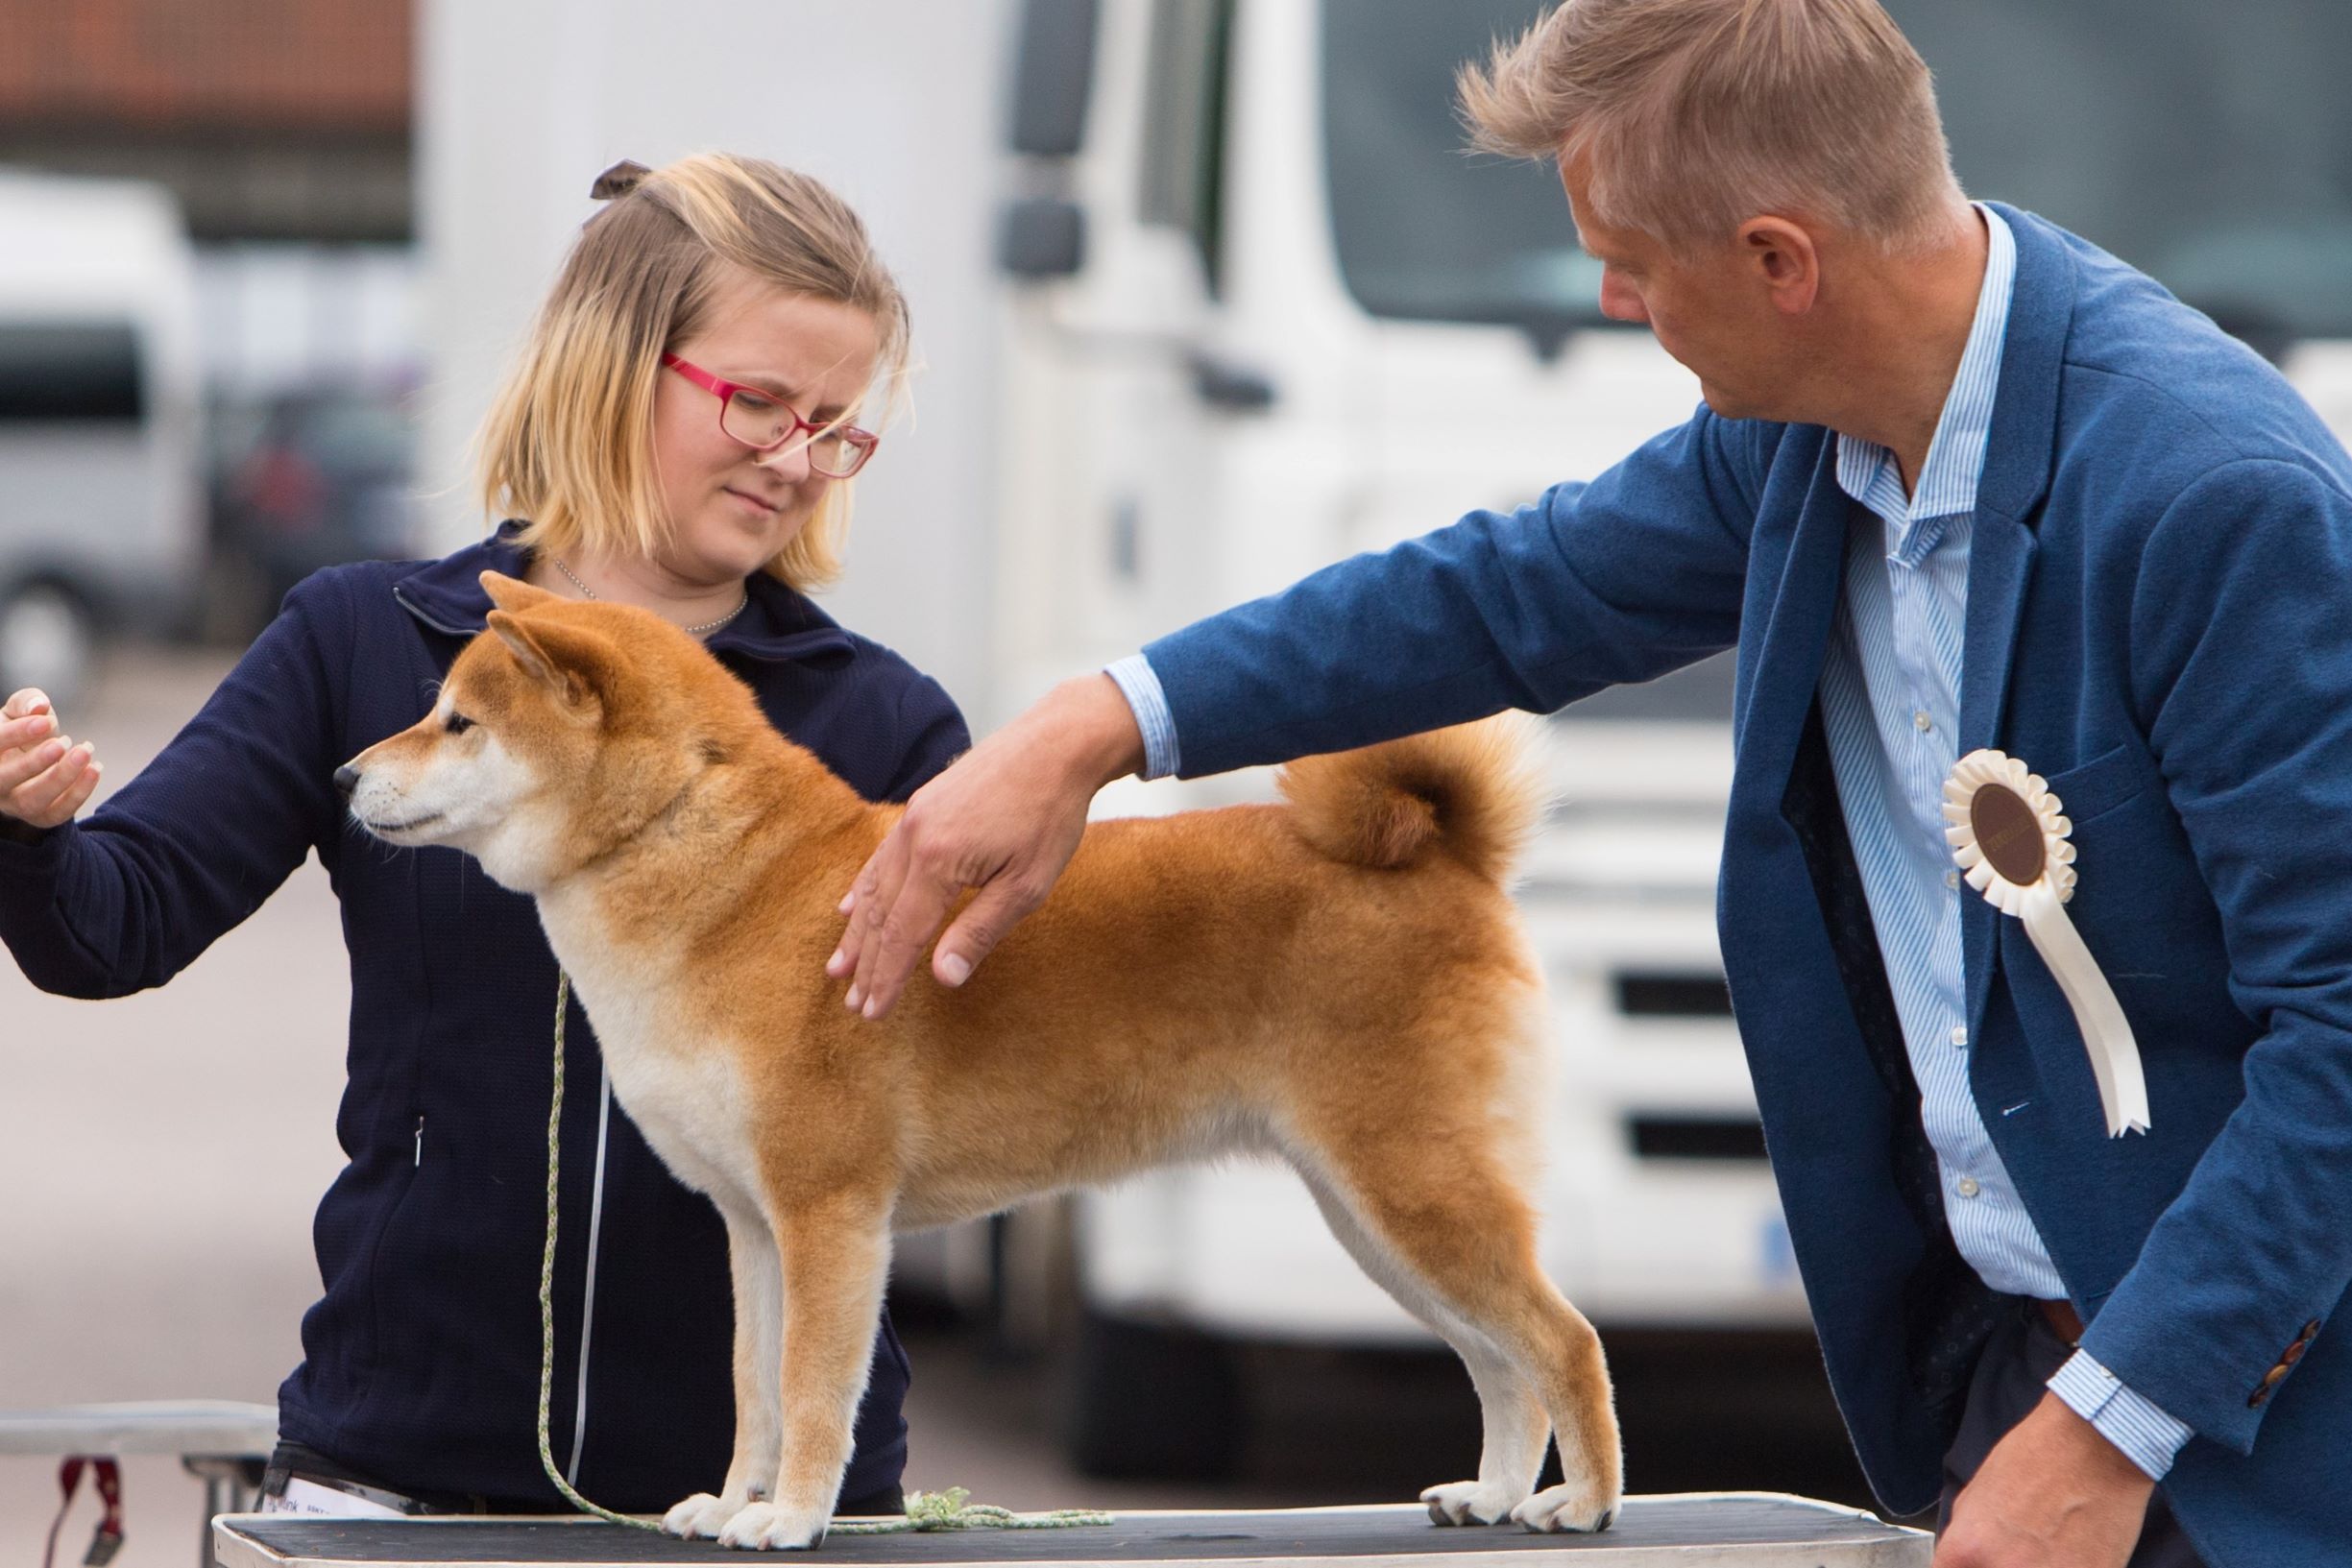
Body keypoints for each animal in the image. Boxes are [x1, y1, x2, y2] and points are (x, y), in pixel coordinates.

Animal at [336, 575, 1617, 1560]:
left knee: (1562, 1341)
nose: (346, 776)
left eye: (457, 722)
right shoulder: (754, 1224)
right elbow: (754, 1386)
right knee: (1499, 1362)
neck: (718, 874)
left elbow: (811, 1390)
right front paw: (731, 1500)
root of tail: (1444, 856)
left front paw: (790, 1518)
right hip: (1374, 1215)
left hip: (1408, 1189)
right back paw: (1492, 1492)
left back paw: (1583, 1502)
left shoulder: (830, 1212)